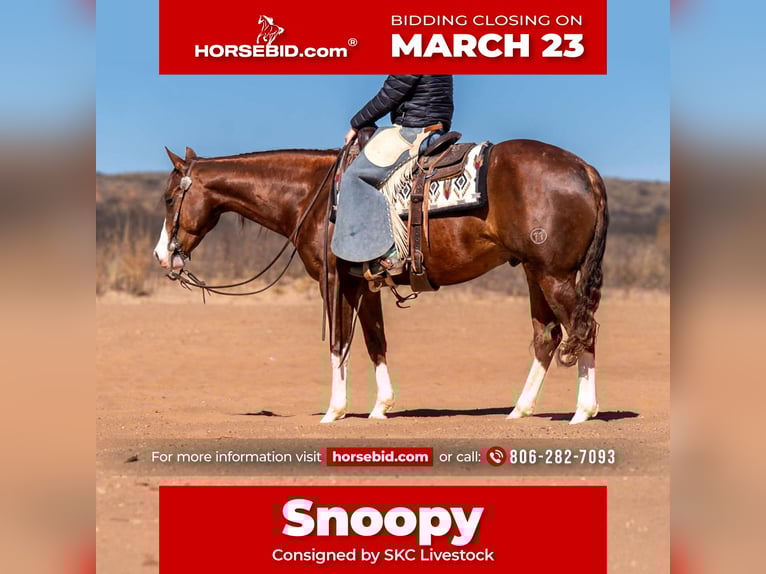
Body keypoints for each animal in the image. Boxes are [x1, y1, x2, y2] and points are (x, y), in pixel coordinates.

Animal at [153, 139, 608, 424]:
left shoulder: (333, 280)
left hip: (554, 275)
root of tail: (584, 170)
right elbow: (375, 341)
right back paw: (520, 409)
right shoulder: (363, 284)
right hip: (535, 273)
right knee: (547, 337)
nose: (162, 256)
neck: (313, 197)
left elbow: (339, 343)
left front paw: (334, 411)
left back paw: (582, 412)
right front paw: (380, 407)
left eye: (170, 198)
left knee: (583, 331)